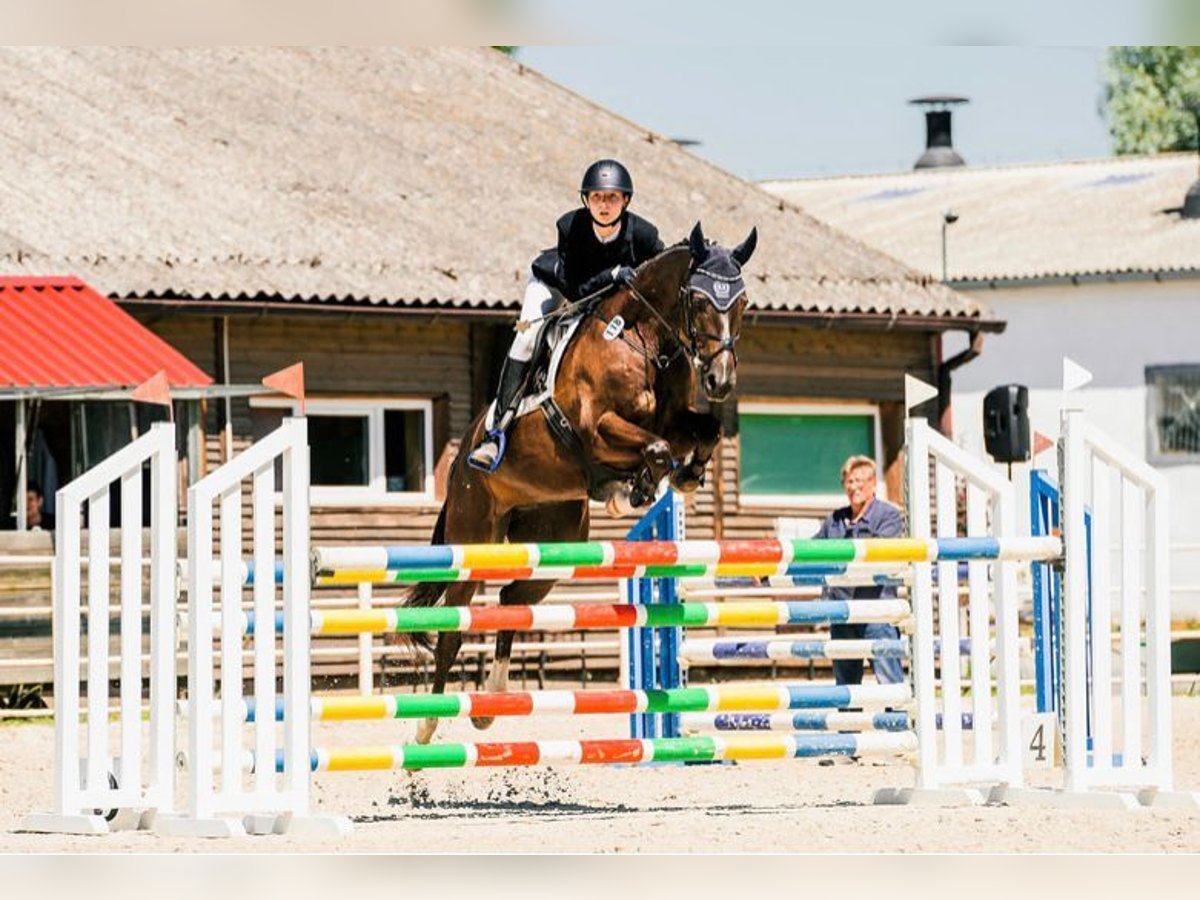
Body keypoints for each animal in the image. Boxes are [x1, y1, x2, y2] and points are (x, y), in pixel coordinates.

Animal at [405, 225, 758, 748]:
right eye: (697, 300)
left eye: (742, 302)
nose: (720, 380)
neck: (645, 339)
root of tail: (457, 470)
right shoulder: (597, 428)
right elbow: (655, 448)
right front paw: (642, 483)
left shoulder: (675, 421)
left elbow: (705, 430)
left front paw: (685, 475)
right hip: (473, 537)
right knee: (454, 626)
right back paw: (426, 726)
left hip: (555, 540)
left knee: (512, 602)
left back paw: (491, 704)